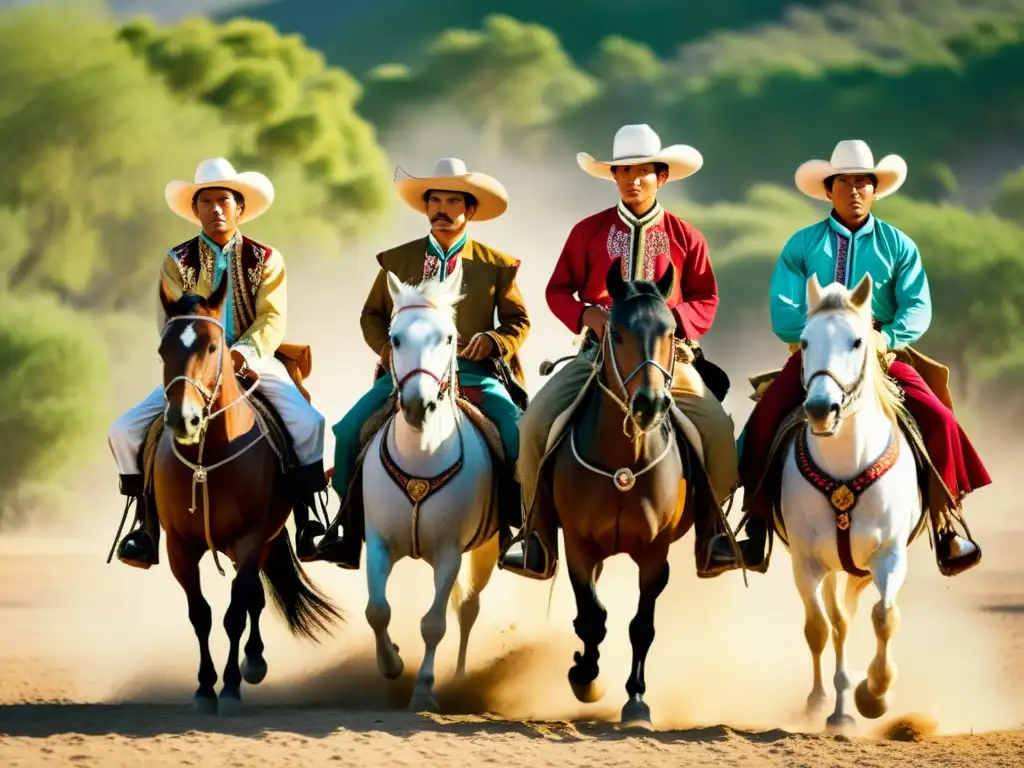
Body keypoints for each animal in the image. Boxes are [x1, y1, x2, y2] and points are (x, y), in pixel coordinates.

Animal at [153, 276, 342, 716]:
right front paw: (205, 687)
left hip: (261, 543)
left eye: (211, 347)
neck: (208, 459)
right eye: (162, 349)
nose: (183, 419)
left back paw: (253, 662)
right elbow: (200, 614)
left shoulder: (251, 538)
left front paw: (231, 686)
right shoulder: (179, 546)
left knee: (253, 597)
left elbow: (235, 613)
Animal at [360, 268, 499, 712]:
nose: (418, 406)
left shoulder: (449, 552)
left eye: (449, 338)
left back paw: (458, 675)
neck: (422, 457)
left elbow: (434, 624)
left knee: (468, 607)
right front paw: (391, 664)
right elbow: (377, 610)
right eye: (395, 338)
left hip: (486, 549)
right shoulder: (378, 542)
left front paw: (423, 689)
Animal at [548, 264, 700, 733]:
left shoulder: (654, 553)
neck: (624, 464)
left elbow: (641, 627)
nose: (650, 404)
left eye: (671, 331)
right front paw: (586, 677)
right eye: (615, 333)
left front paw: (636, 702)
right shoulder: (578, 544)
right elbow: (593, 618)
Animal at [778, 274, 925, 729]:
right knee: (836, 622)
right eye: (805, 341)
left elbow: (884, 616)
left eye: (857, 341)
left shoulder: (889, 554)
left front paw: (875, 693)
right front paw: (826, 702)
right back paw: (833, 707)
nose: (821, 408)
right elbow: (819, 628)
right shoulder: (806, 562)